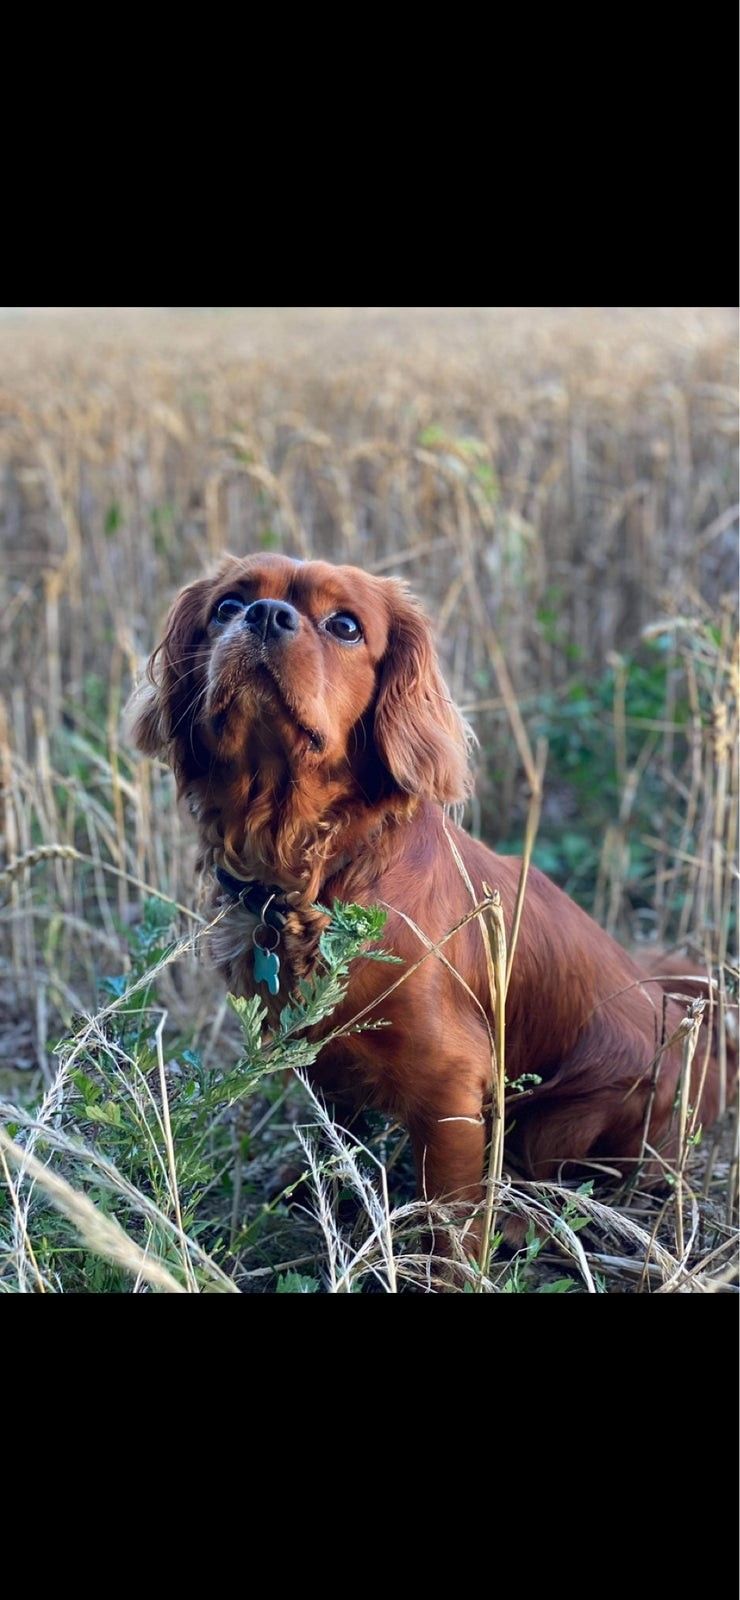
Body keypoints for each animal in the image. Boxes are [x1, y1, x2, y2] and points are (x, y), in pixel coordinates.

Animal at [128, 556, 733, 1241]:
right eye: (227, 606)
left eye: (344, 626)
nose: (264, 615)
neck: (319, 874)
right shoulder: (319, 1058)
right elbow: (339, 1138)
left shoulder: (450, 1085)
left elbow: (449, 1219)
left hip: (570, 1116)